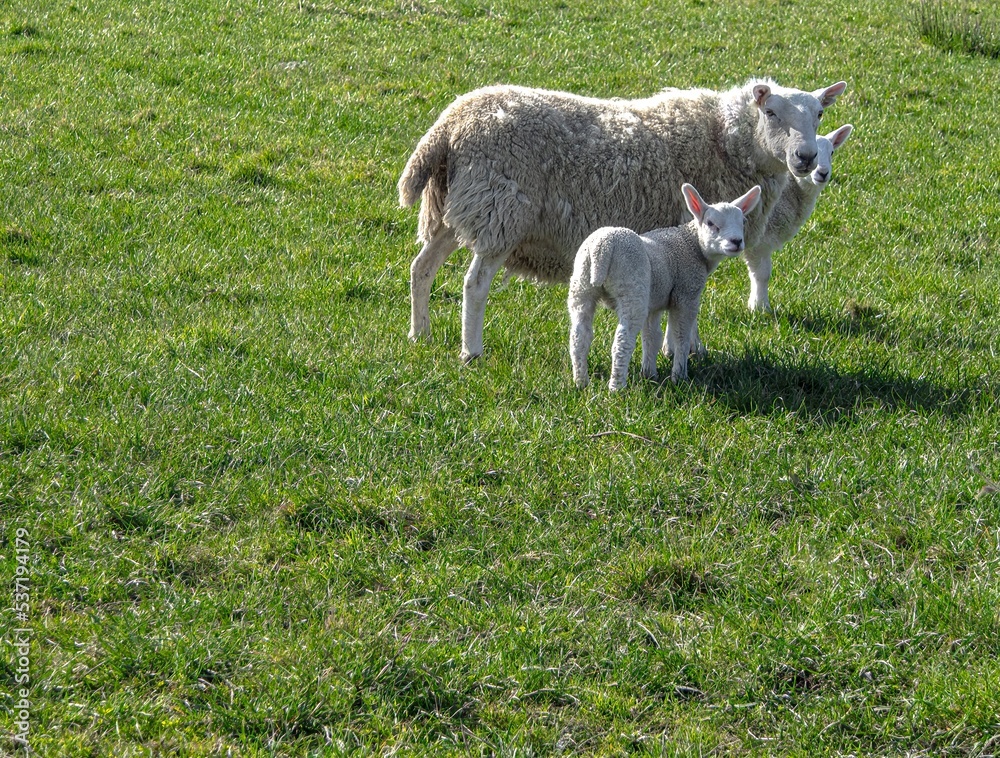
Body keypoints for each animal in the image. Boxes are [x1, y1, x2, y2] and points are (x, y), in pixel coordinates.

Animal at [398, 78, 847, 362]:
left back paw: (420, 334)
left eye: (819, 115)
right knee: (474, 285)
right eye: (770, 111)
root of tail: (448, 125)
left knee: (421, 268)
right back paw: (471, 350)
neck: (724, 140)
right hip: (501, 212)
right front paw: (682, 348)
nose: (807, 158)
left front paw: (690, 348)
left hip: (456, 209)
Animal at [568, 183, 761, 390]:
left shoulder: (655, 302)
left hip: (581, 286)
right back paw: (617, 387)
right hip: (631, 288)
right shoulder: (686, 294)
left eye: (743, 221)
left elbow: (652, 337)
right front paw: (679, 376)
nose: (737, 242)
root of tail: (601, 250)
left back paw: (581, 382)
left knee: (579, 336)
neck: (691, 244)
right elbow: (681, 336)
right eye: (710, 223)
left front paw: (649, 374)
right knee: (622, 340)